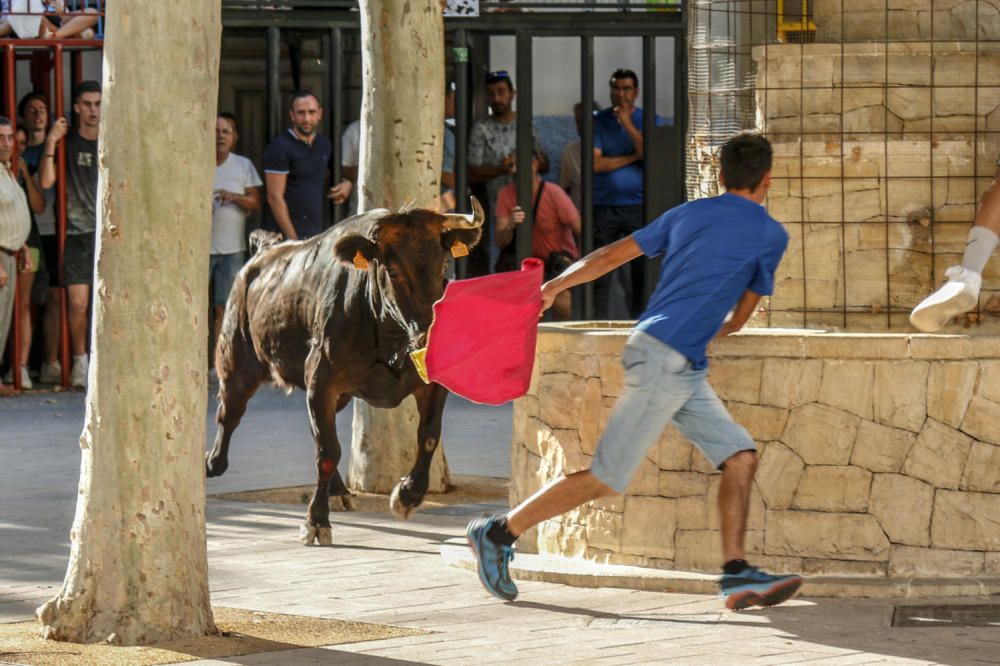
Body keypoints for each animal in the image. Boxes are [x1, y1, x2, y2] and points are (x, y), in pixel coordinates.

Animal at [204, 197, 484, 544]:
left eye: (443, 266)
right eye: (392, 270)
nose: (428, 334)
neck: (387, 336)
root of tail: (260, 257)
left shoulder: (430, 384)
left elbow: (428, 436)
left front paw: (407, 496)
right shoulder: (320, 381)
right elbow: (327, 451)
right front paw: (315, 520)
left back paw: (338, 490)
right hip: (236, 362)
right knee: (229, 413)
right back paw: (213, 462)